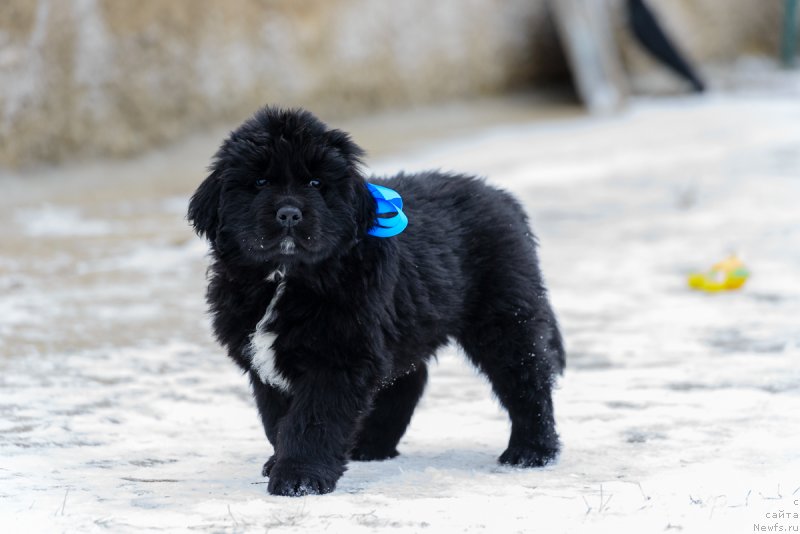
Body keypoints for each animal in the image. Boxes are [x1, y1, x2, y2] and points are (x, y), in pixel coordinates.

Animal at [188, 107, 564, 500]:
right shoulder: (268, 363)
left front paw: (299, 478)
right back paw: (370, 445)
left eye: (316, 184)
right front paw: (281, 463)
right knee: (410, 380)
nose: (289, 214)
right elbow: (277, 419)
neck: (285, 277)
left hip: (504, 318)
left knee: (527, 379)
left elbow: (312, 420)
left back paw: (532, 451)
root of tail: (502, 197)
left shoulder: (338, 358)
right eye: (260, 182)